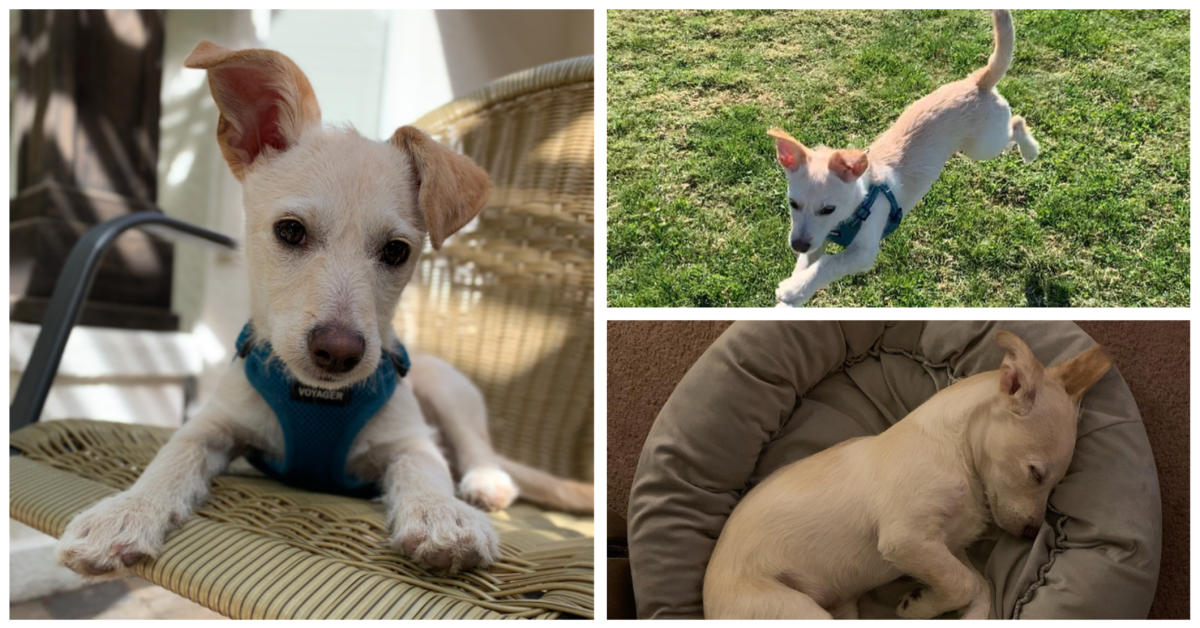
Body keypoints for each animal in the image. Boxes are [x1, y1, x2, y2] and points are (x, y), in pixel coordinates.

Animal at [56, 41, 590, 583]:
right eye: (290, 230)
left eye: (397, 251)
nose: (338, 352)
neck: (318, 401)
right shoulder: (214, 424)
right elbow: (172, 456)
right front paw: (126, 511)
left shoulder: (410, 438)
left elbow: (426, 468)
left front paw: (442, 515)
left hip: (448, 386)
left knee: (474, 448)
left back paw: (484, 482)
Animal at [705, 331, 1108, 619]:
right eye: (1036, 473)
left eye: (1056, 485)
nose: (1029, 532)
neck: (959, 456)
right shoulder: (908, 538)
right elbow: (965, 585)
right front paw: (920, 606)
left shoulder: (947, 548)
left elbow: (980, 587)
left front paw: (938, 605)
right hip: (793, 610)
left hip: (841, 610)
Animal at [772, 8, 1036, 306]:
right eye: (793, 203)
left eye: (828, 209)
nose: (797, 244)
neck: (862, 200)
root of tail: (977, 81)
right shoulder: (817, 239)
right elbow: (807, 264)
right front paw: (793, 292)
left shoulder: (862, 253)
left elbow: (827, 263)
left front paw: (792, 289)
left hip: (983, 146)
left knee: (1017, 122)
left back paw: (1030, 150)